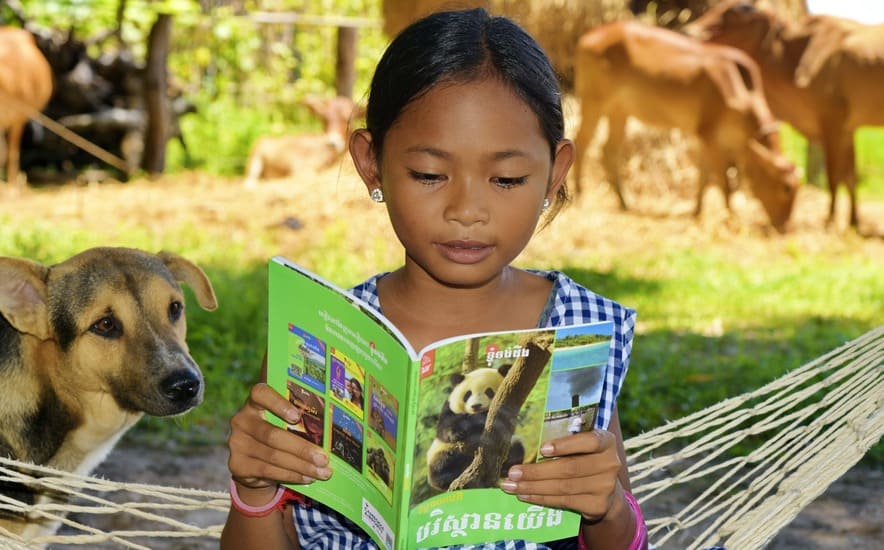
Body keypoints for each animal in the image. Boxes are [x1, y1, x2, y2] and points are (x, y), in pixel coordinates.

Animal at [572, 20, 800, 230]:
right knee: (581, 143)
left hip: (620, 111)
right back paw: (580, 195)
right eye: (785, 188)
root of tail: (588, 37)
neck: (740, 93)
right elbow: (724, 182)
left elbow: (703, 176)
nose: (786, 226)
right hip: (593, 101)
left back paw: (624, 202)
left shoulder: (704, 138)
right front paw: (732, 217)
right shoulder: (709, 136)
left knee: (608, 151)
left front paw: (697, 211)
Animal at [684, 0, 884, 229]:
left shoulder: (833, 120)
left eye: (739, 9)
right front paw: (853, 221)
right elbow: (850, 176)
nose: (689, 31)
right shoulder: (846, 127)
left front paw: (831, 220)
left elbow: (835, 175)